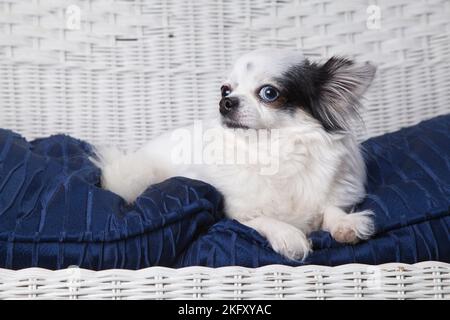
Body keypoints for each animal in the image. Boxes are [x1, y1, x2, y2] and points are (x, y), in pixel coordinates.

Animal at [96, 49, 378, 260]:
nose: (225, 102)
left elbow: (329, 207)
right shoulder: (225, 213)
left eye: (269, 93)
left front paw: (345, 223)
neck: (272, 153)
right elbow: (256, 219)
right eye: (225, 90)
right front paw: (288, 235)